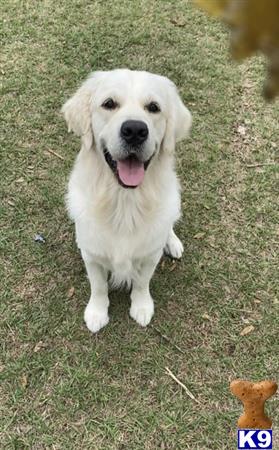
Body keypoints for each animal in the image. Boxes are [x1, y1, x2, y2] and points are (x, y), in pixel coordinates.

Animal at [62, 68, 191, 332]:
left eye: (153, 107)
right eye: (109, 104)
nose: (134, 130)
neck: (124, 203)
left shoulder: (150, 255)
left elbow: (142, 282)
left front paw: (141, 307)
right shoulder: (91, 254)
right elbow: (98, 286)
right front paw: (97, 312)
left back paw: (173, 242)